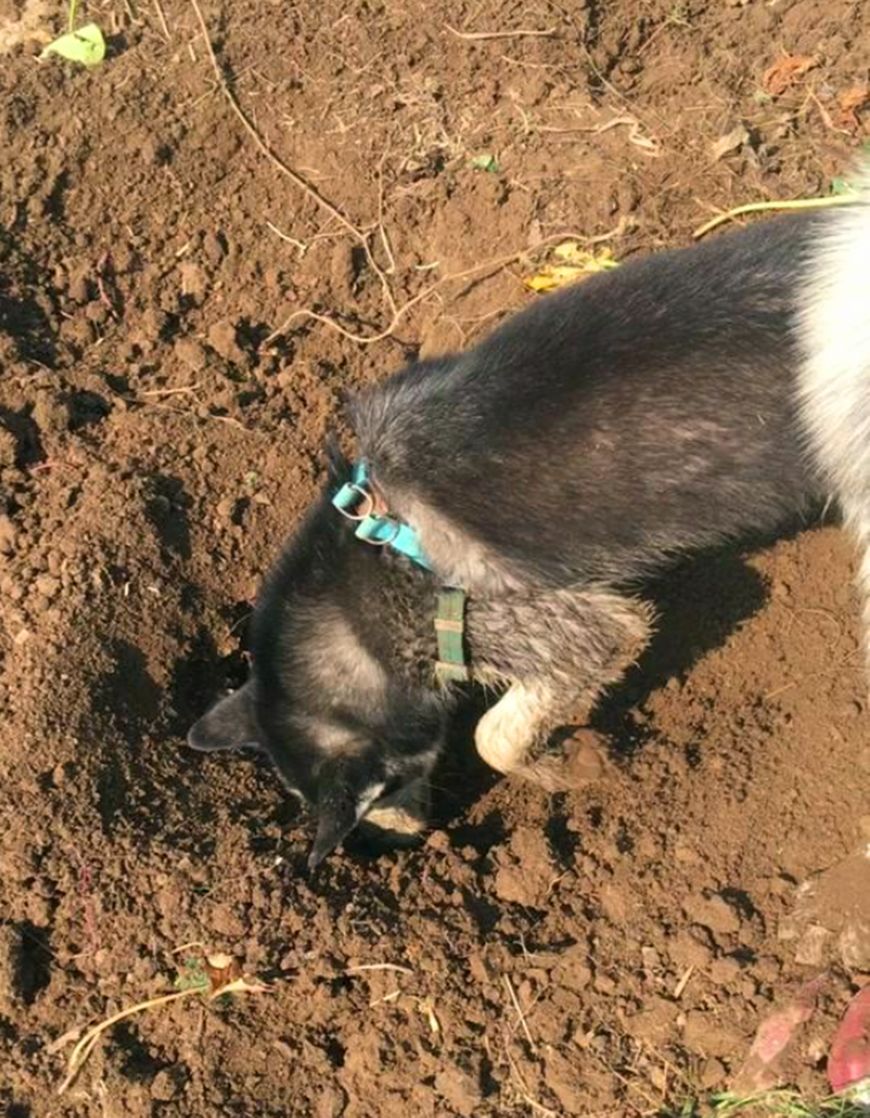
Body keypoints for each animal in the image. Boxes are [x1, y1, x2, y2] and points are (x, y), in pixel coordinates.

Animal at [187, 165, 867, 867]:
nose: (385, 842)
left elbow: (494, 735)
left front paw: (563, 766)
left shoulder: (573, 629)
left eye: (378, 790)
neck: (384, 543)